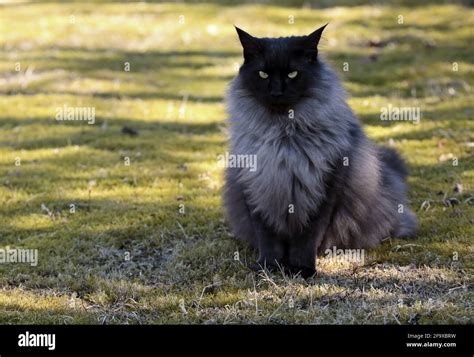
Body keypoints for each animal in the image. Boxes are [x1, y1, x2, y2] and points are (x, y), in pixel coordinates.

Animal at [224, 25, 416, 278]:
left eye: (293, 74)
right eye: (263, 74)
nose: (276, 92)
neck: (283, 137)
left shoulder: (324, 190)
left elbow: (307, 239)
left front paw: (302, 269)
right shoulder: (255, 190)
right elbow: (268, 240)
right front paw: (268, 267)